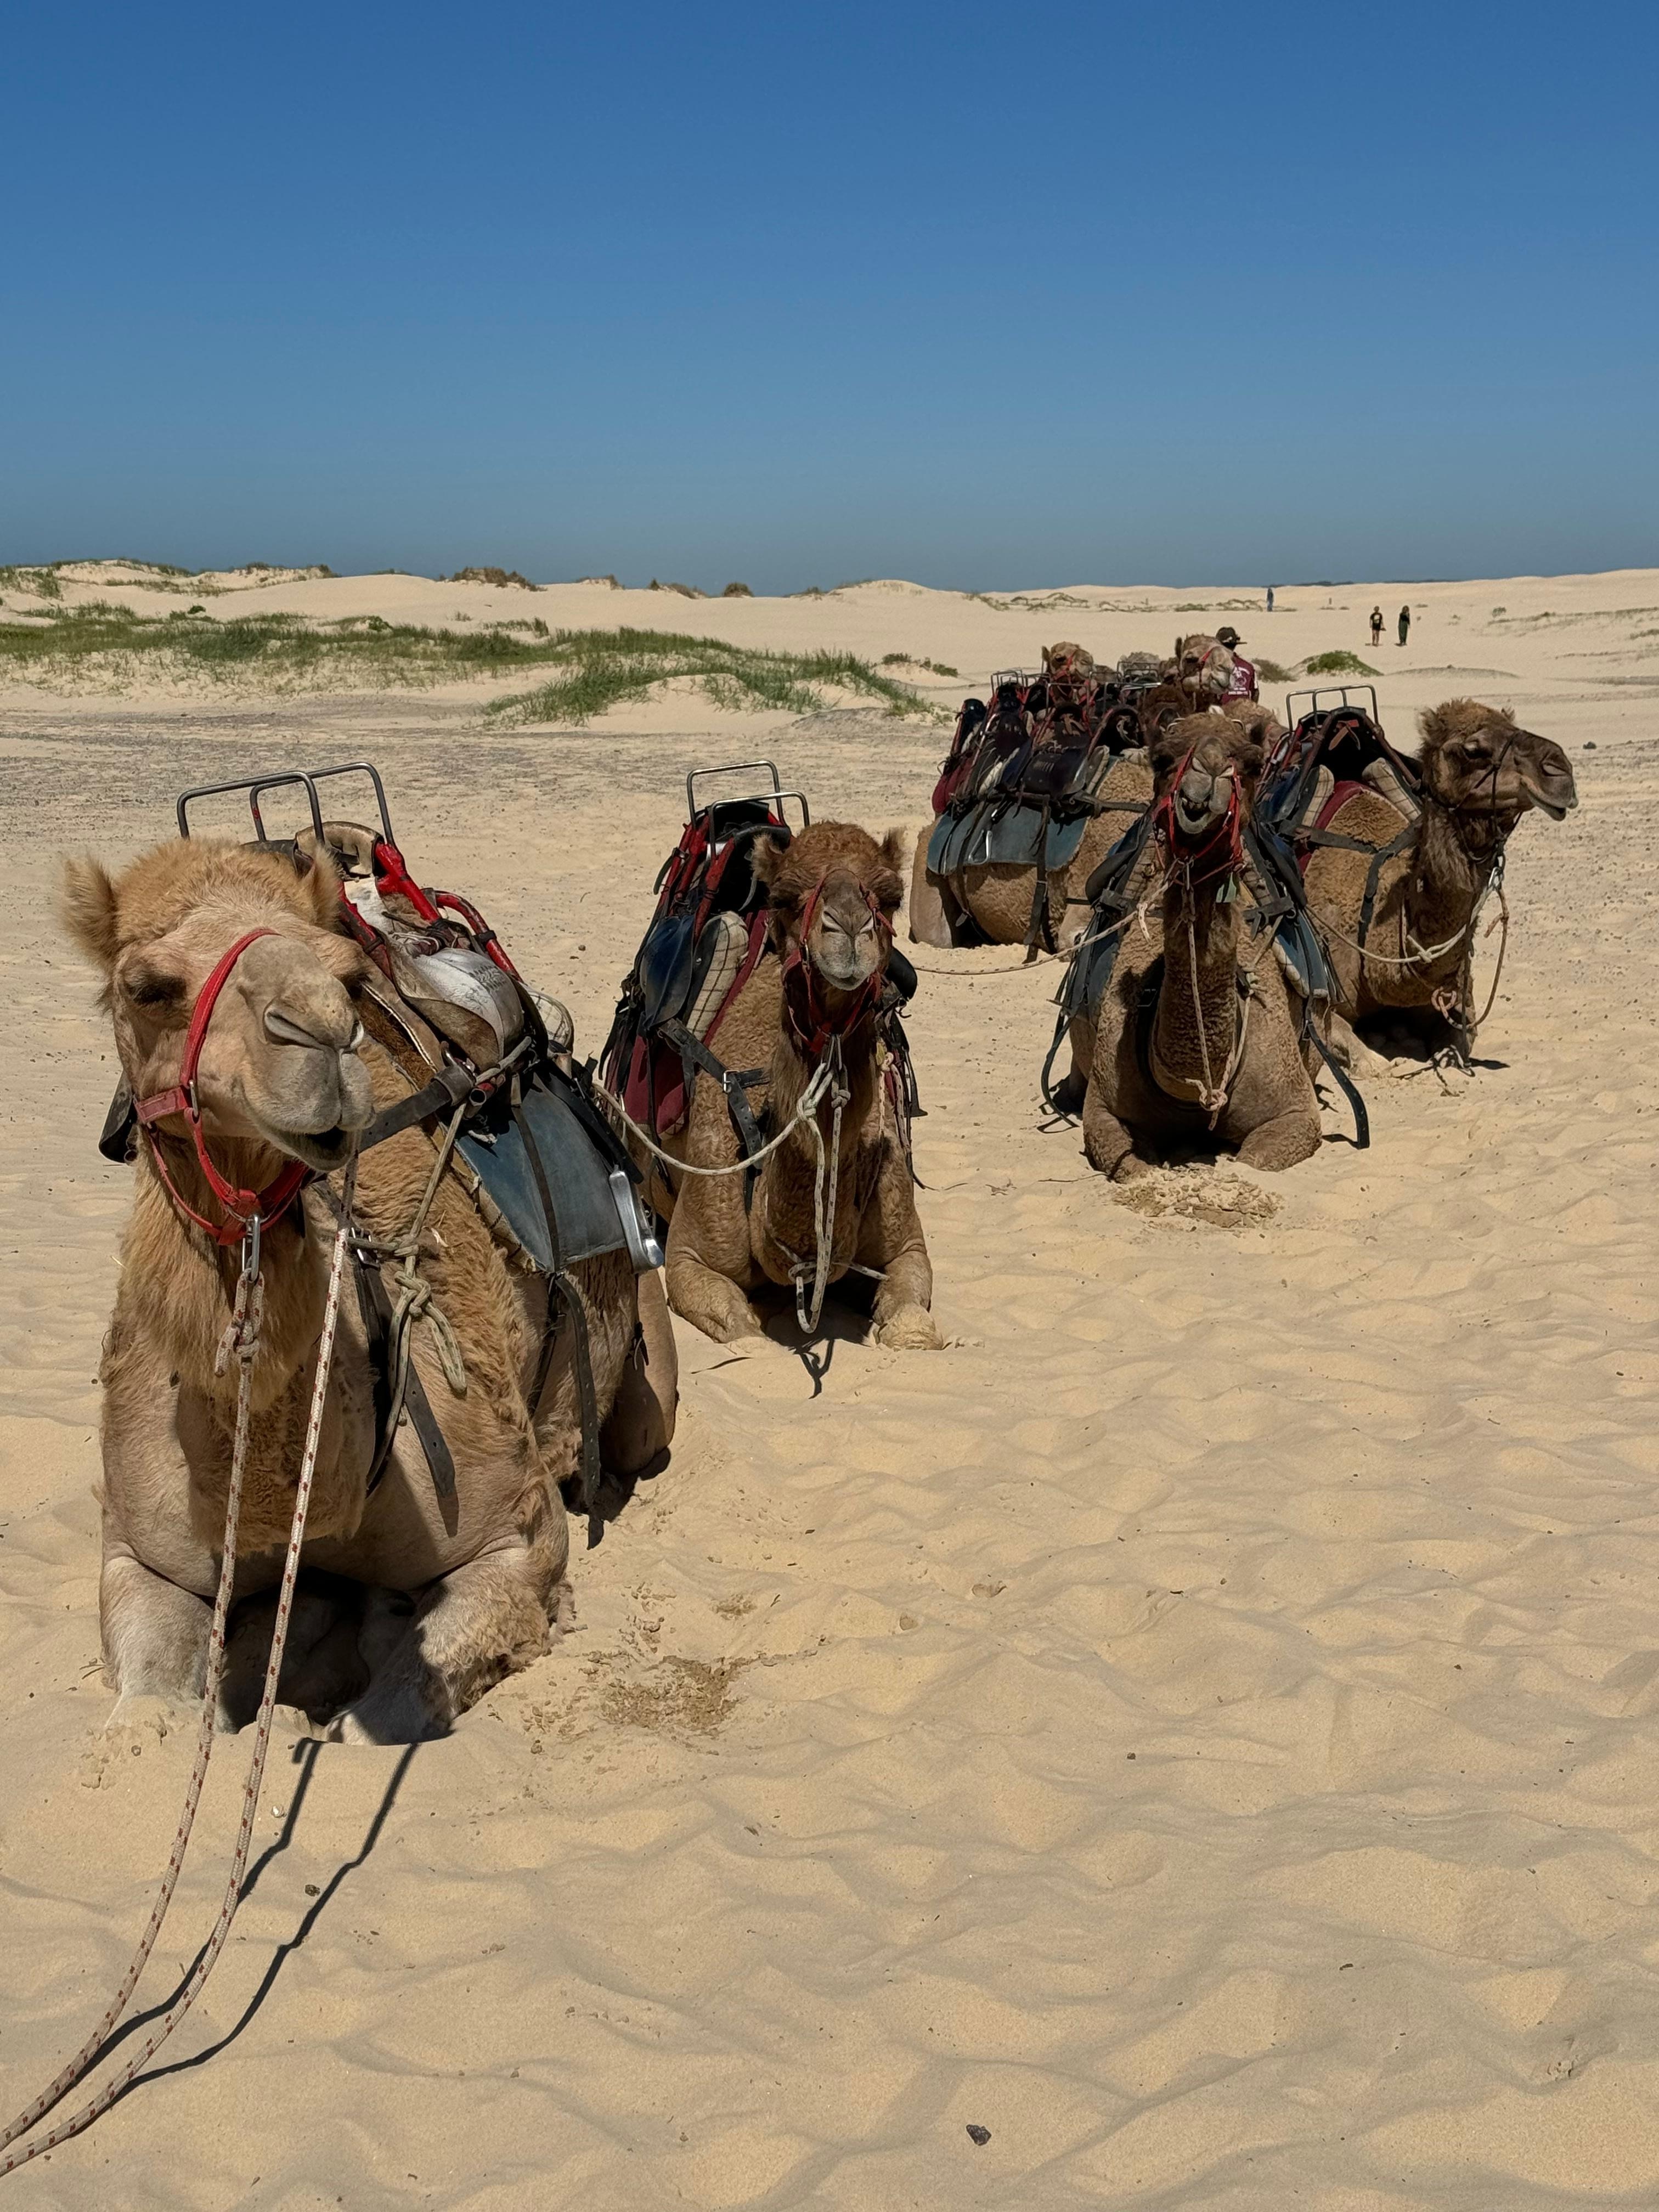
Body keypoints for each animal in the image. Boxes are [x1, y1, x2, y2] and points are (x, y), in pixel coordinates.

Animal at [62, 836, 676, 1742]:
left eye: (346, 977)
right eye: (147, 988)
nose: (318, 1037)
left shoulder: (516, 1539)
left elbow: (379, 1715)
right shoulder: (140, 1559)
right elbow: (147, 1716)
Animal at [636, 820, 940, 1349]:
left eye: (891, 897)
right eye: (783, 898)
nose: (849, 928)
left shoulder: (907, 1245)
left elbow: (911, 1327)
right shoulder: (690, 1260)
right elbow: (746, 1337)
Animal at [1076, 712, 1323, 1178]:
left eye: (1253, 764)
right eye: (1161, 759)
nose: (1208, 771)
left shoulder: (1297, 1114)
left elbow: (1251, 1163)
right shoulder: (1102, 1112)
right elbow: (1133, 1167)